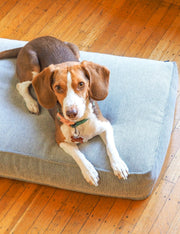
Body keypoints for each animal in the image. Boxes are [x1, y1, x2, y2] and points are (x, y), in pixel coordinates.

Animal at [0, 36, 129, 186]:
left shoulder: (106, 125)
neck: (79, 123)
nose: (71, 113)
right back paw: (31, 103)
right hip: (33, 68)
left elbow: (111, 148)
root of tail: (31, 42)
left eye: (81, 84)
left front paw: (118, 165)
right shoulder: (60, 140)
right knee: (20, 86)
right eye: (57, 88)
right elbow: (78, 155)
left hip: (74, 48)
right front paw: (89, 171)